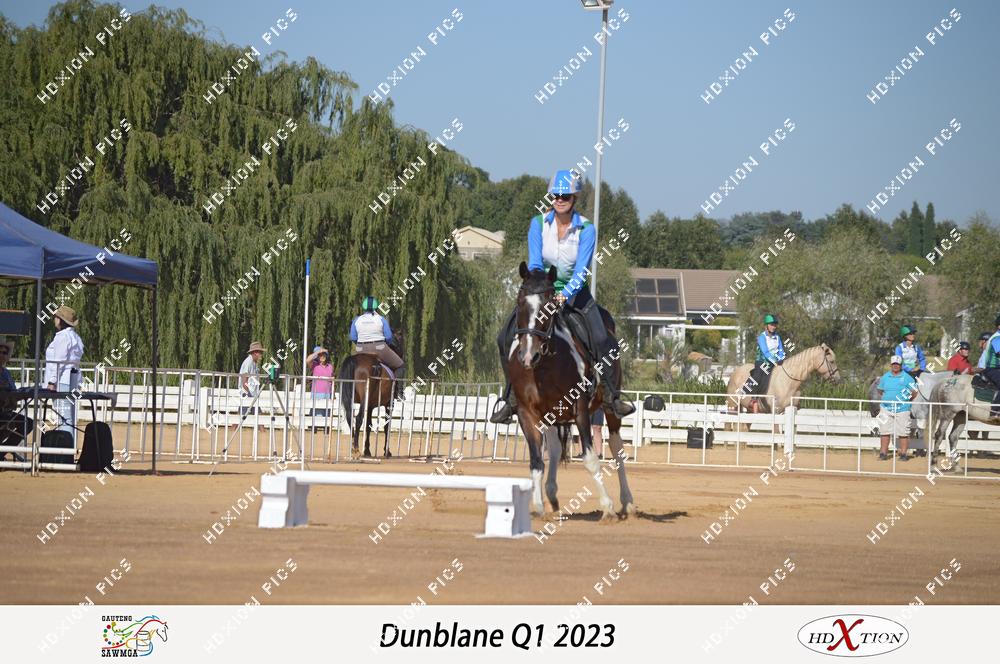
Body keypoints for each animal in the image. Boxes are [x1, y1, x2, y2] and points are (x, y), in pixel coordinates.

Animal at [337, 330, 405, 460]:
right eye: (399, 343)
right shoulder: (389, 403)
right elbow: (386, 426)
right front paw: (387, 451)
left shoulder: (370, 406)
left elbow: (368, 426)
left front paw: (367, 450)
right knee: (358, 418)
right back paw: (356, 450)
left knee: (350, 418)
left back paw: (354, 448)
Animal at [508, 262, 634, 521]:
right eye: (520, 302)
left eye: (548, 305)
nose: (528, 355)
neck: (545, 366)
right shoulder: (527, 413)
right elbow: (537, 461)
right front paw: (538, 507)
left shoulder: (580, 409)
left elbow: (590, 459)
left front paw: (607, 507)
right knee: (556, 450)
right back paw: (551, 498)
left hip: (609, 409)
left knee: (617, 448)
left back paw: (626, 502)